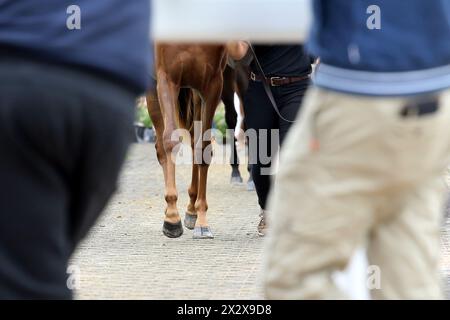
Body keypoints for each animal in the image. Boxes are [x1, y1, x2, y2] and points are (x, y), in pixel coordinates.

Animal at [147, 43, 227, 239]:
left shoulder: (212, 85)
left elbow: (203, 148)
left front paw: (202, 220)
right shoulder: (166, 79)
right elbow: (169, 141)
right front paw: (171, 217)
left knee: (194, 142)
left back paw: (191, 210)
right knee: (161, 148)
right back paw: (170, 209)